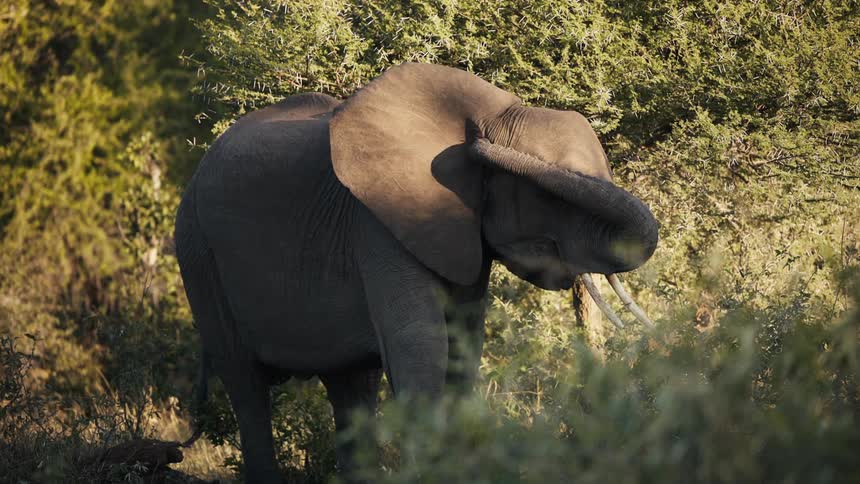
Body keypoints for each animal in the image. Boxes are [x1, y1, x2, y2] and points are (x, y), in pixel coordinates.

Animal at [174, 62, 658, 482]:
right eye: (549, 194)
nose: (480, 145)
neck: (495, 111)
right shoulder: (375, 221)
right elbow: (422, 345)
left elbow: (463, 349)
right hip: (198, 253)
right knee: (245, 385)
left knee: (351, 387)